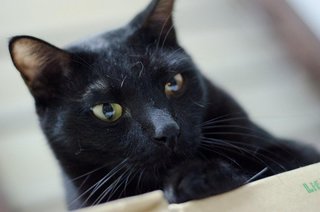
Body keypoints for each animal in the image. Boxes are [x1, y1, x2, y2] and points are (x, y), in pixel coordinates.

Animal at [8, 0, 318, 210]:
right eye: (107, 110)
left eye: (173, 84)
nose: (168, 130)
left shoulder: (300, 152)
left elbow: (270, 158)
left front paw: (198, 176)